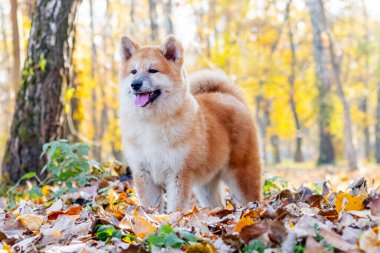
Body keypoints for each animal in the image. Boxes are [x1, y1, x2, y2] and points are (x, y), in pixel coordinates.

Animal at [119, 34, 262, 211]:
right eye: (133, 71)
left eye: (153, 70)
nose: (135, 84)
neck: (152, 123)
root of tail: (230, 97)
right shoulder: (144, 173)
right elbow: (150, 208)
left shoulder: (179, 172)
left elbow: (176, 207)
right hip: (206, 185)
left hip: (241, 175)